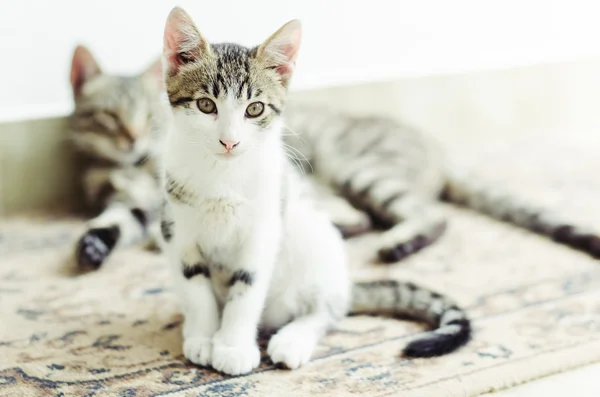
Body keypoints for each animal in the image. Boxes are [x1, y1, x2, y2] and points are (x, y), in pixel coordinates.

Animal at [161, 7, 474, 376]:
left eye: (255, 108)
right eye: (206, 105)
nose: (229, 141)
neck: (222, 175)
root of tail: (343, 283)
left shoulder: (264, 229)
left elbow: (247, 289)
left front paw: (232, 347)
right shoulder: (177, 231)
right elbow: (196, 291)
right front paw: (202, 337)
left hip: (317, 247)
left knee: (326, 310)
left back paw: (292, 340)